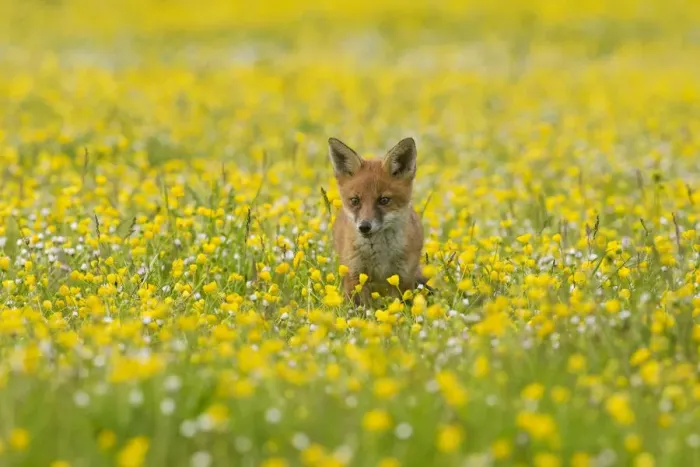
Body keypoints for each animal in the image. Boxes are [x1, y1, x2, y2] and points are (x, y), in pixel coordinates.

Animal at [328, 136, 429, 306]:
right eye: (355, 201)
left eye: (384, 200)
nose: (364, 227)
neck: (379, 254)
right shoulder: (354, 276)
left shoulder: (402, 278)